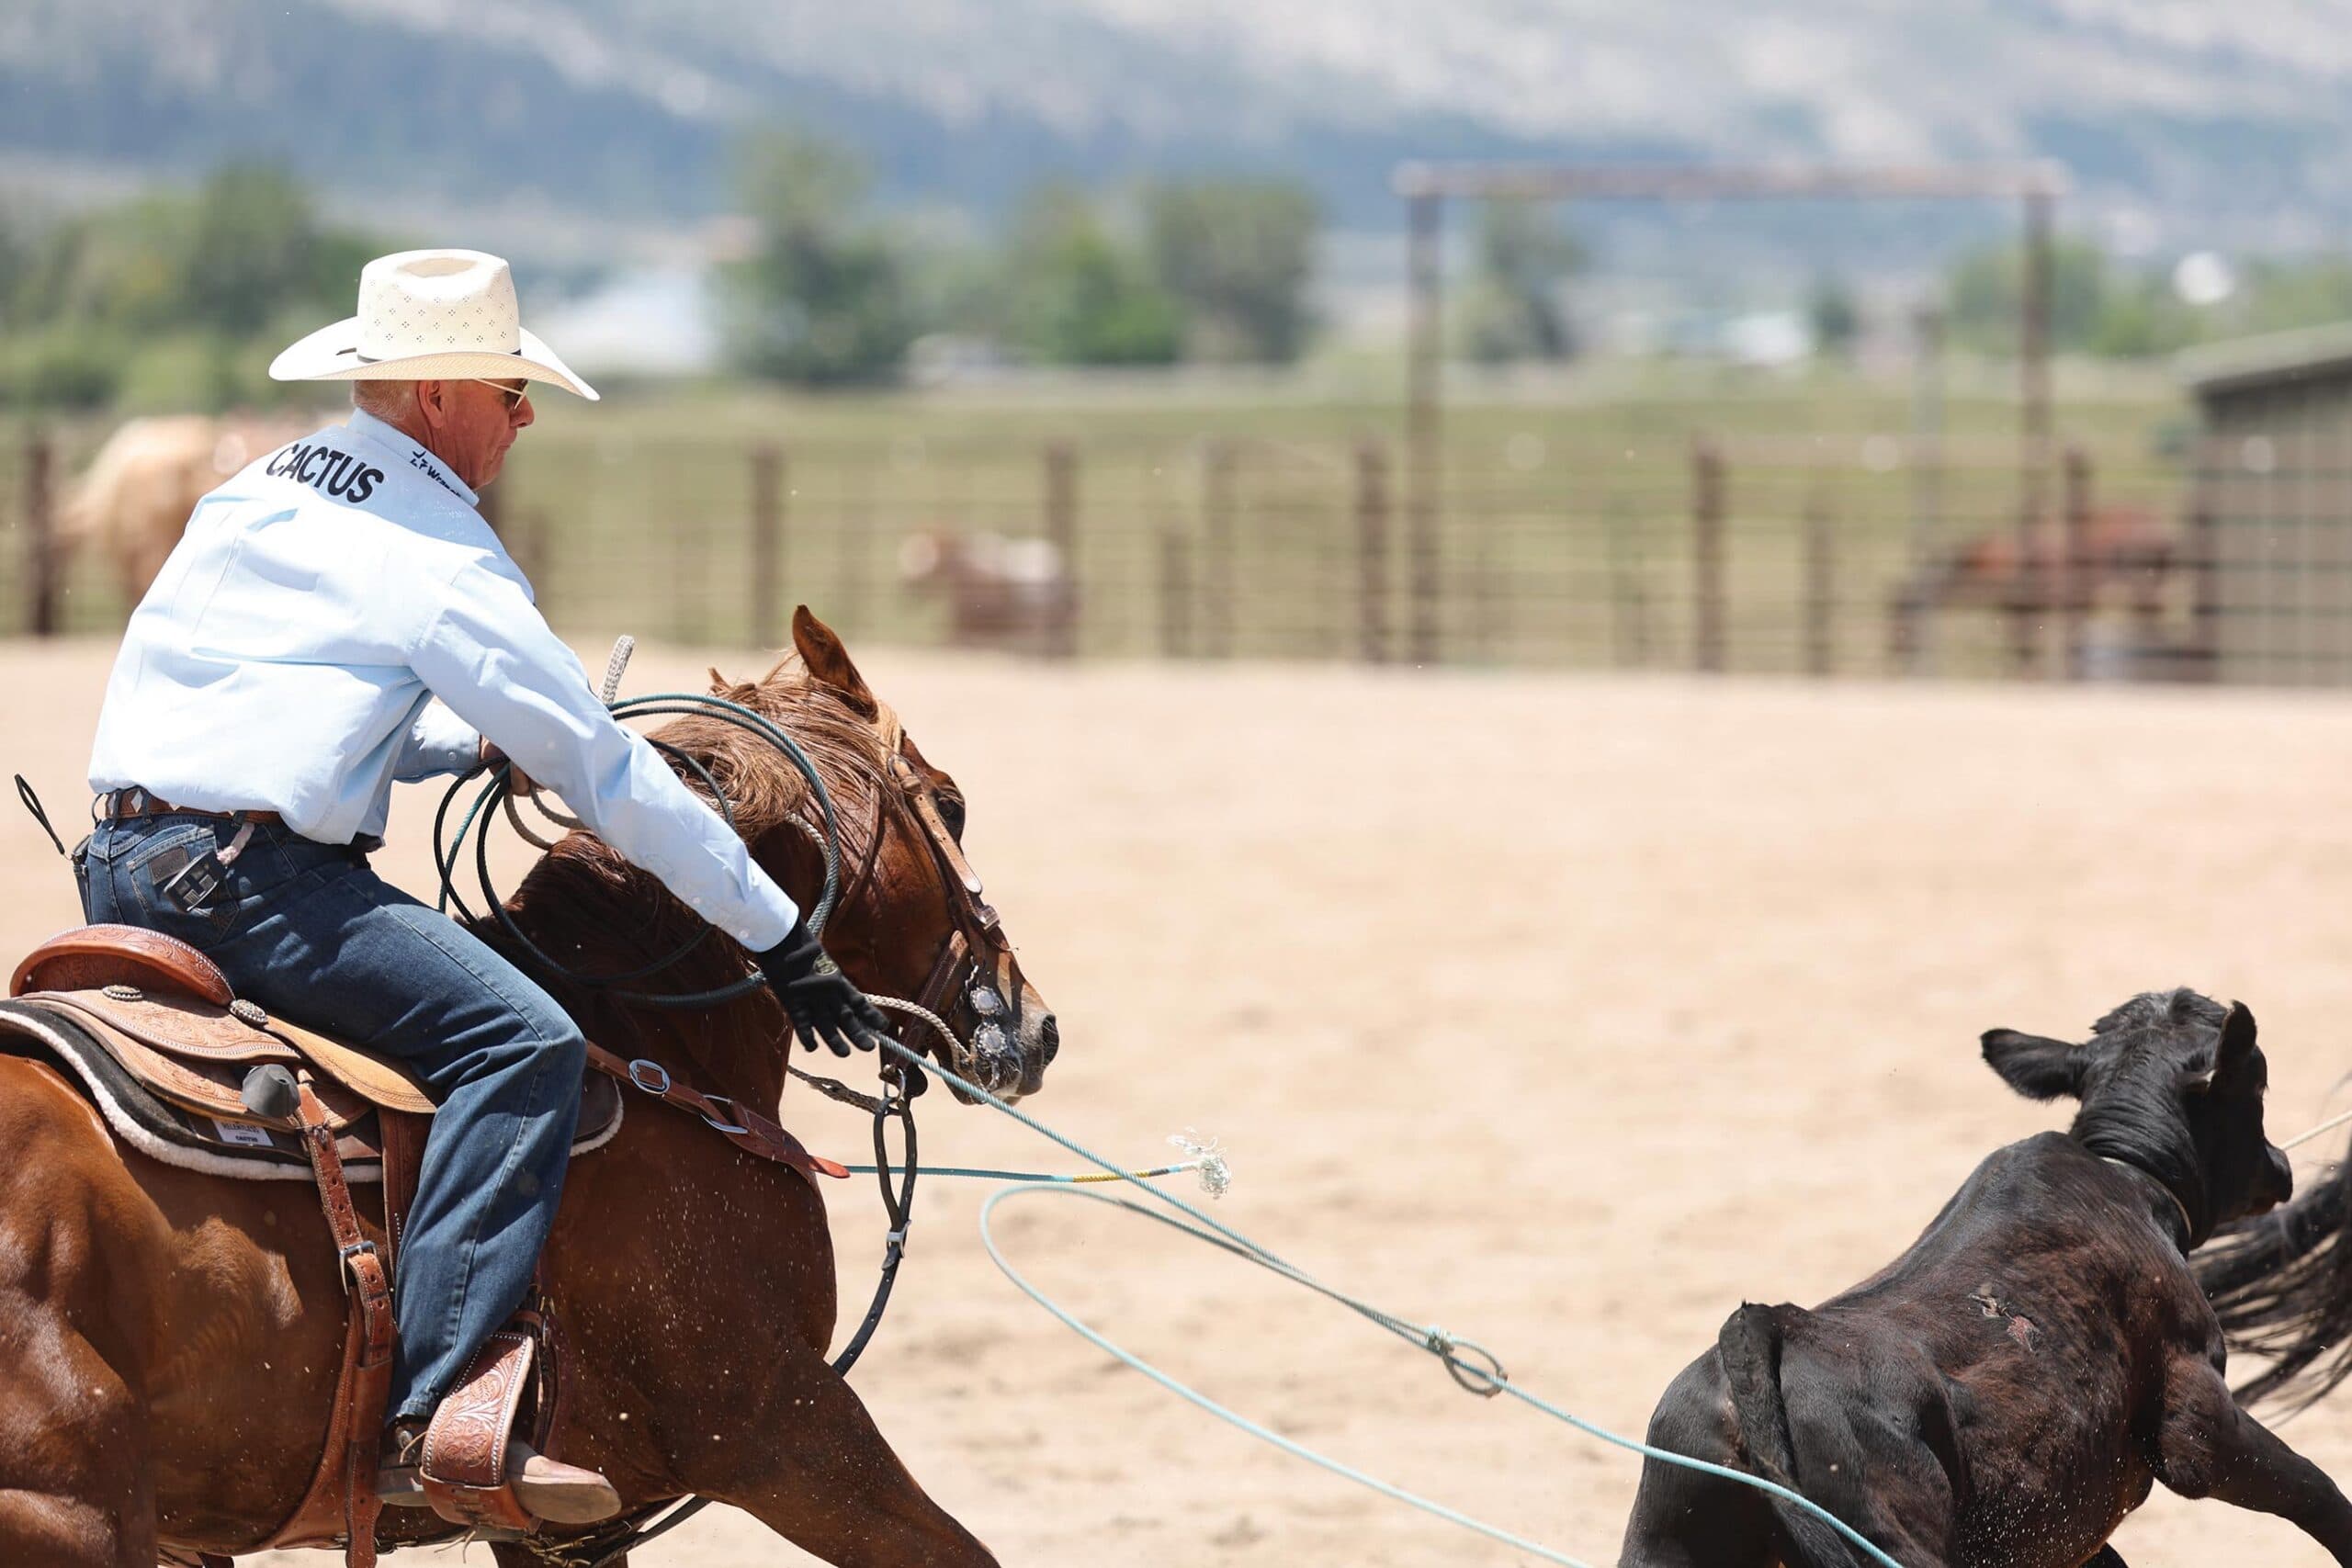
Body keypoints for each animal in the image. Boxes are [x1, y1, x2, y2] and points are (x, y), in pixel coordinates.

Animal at [0, 608, 1056, 1567]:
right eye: (952, 805)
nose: (1034, 1025)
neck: (645, 1043)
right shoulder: (783, 1427)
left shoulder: (566, 1532)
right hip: (76, 1519)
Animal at [1620, 990, 2344, 1568]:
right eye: (2258, 1080)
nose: (2281, 1166)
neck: (2130, 1175)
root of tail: (1763, 1332)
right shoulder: (2198, 1422)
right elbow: (2317, 1491)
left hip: (1665, 1541)